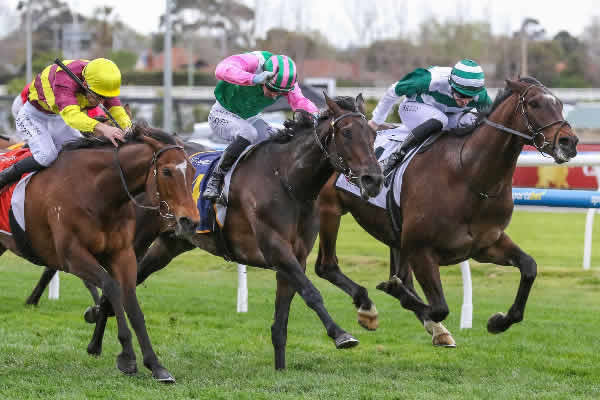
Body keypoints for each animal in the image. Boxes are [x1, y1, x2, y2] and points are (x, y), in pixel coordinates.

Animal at [0, 124, 202, 382]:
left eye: (193, 170)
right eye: (166, 171)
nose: (190, 221)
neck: (97, 191)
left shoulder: (123, 254)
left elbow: (132, 303)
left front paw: (155, 365)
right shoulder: (73, 255)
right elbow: (111, 287)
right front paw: (127, 356)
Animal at [82, 95, 382, 370]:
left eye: (373, 134)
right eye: (347, 132)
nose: (374, 180)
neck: (287, 181)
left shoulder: (294, 257)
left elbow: (282, 319)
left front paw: (280, 368)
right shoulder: (276, 249)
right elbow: (311, 293)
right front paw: (341, 334)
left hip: (168, 246)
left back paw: (97, 341)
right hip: (134, 241)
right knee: (115, 287)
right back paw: (97, 343)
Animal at [316, 76, 580, 346]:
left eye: (559, 104)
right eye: (535, 103)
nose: (569, 142)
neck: (469, 176)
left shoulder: (485, 245)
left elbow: (529, 267)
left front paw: (498, 321)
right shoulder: (421, 250)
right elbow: (438, 306)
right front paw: (393, 294)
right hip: (328, 210)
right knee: (326, 266)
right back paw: (368, 308)